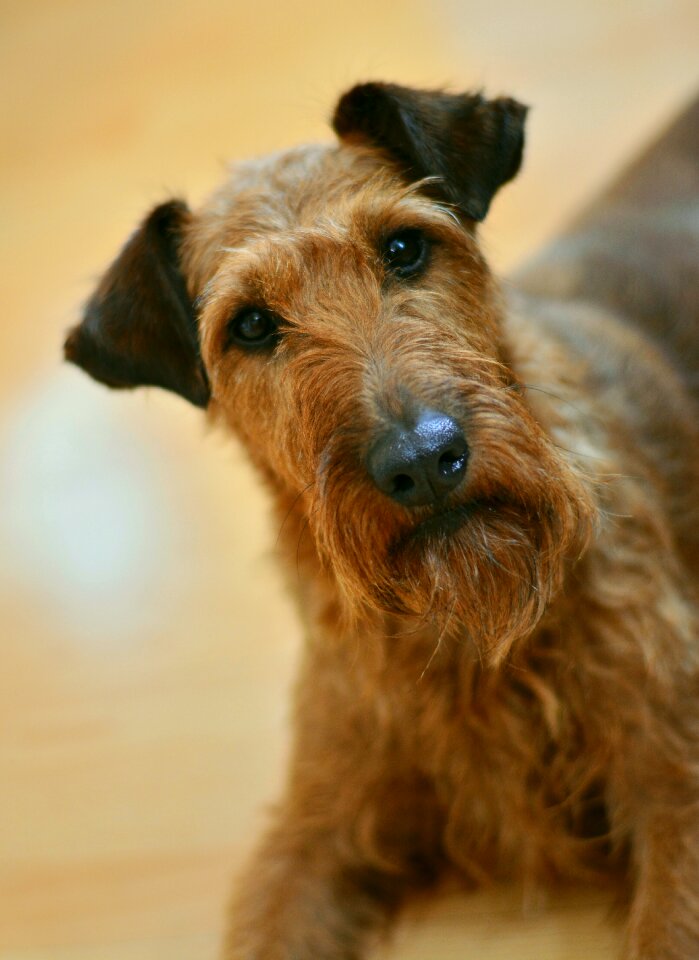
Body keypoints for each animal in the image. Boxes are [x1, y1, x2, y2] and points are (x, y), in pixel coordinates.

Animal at [65, 84, 699, 960]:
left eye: (403, 248)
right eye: (251, 325)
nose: (425, 461)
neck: (464, 636)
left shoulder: (673, 780)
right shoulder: (316, 824)